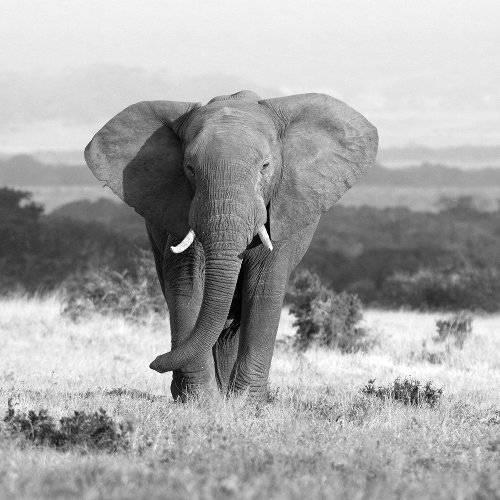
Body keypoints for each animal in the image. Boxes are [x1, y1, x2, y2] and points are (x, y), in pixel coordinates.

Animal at [84, 91, 376, 402]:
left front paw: (246, 403)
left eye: (265, 167)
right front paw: (200, 400)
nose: (154, 362)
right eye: (190, 168)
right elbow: (187, 284)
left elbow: (263, 288)